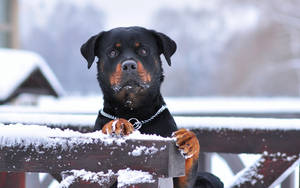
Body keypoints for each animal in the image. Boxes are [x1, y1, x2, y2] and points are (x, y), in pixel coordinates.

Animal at [81, 26, 221, 188]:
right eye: (112, 52)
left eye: (143, 51)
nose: (129, 65)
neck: (135, 113)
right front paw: (117, 124)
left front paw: (189, 139)